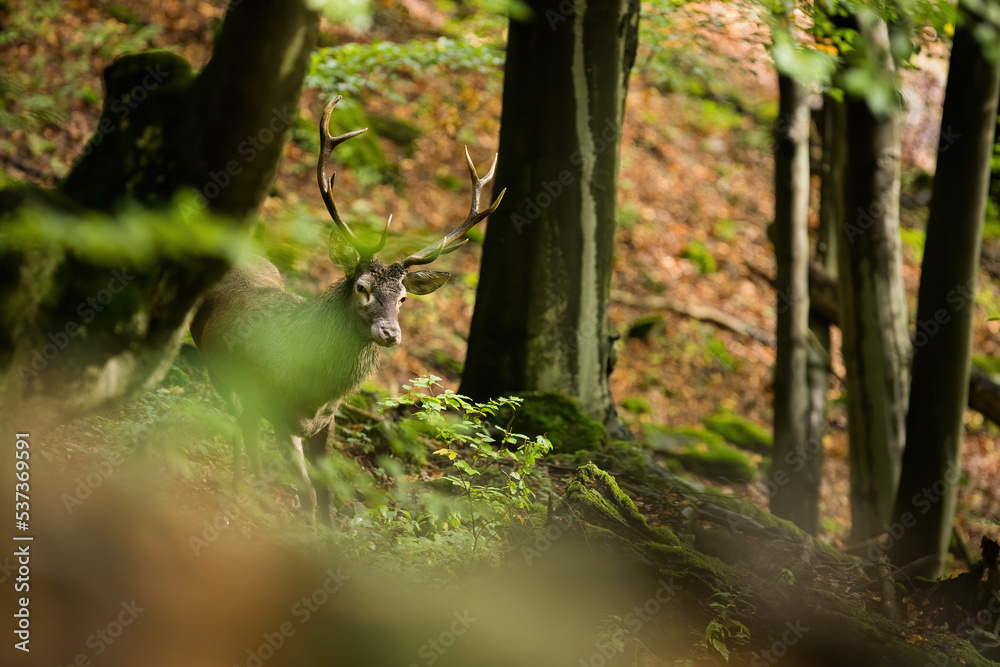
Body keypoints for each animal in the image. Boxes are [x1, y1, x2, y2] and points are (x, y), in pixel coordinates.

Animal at [190, 95, 504, 524]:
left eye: (403, 298)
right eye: (361, 287)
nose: (390, 333)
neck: (314, 386)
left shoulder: (328, 420)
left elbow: (326, 495)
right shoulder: (278, 410)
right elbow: (306, 494)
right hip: (218, 371)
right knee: (238, 425)